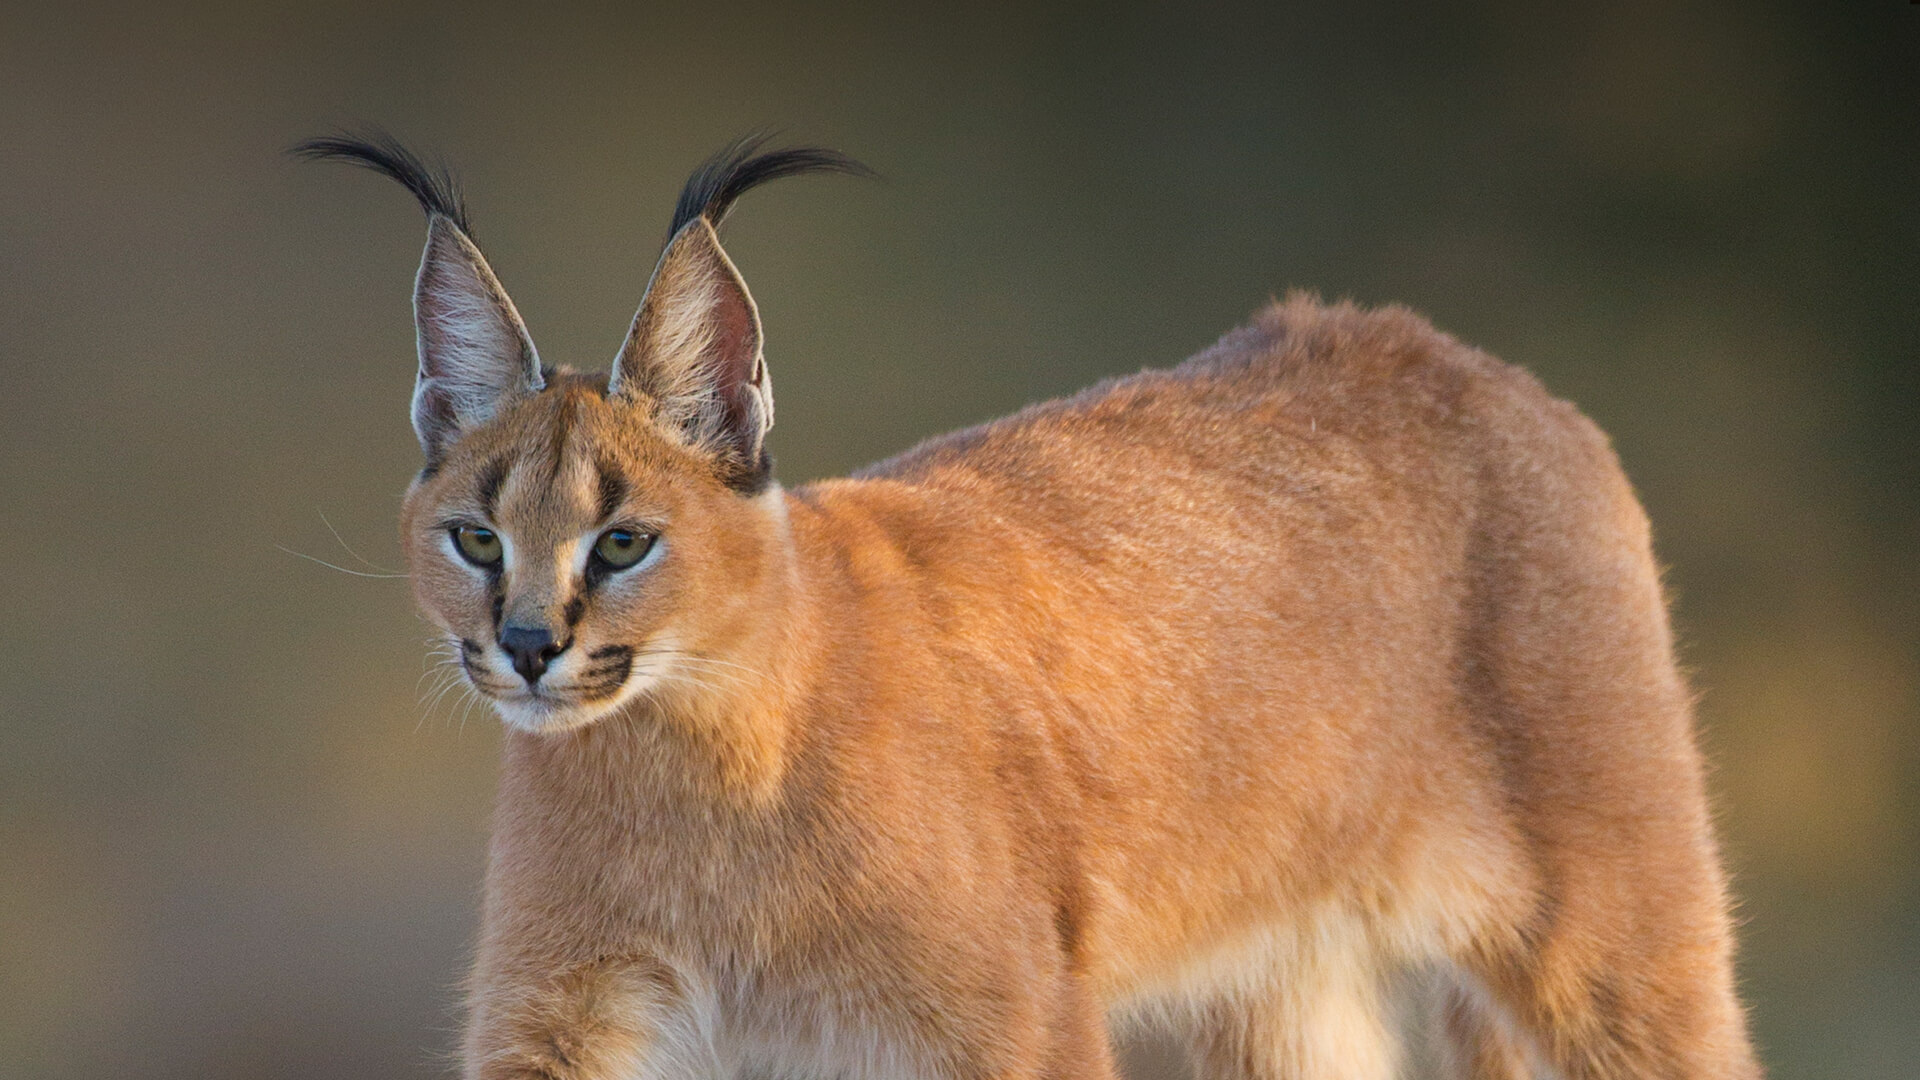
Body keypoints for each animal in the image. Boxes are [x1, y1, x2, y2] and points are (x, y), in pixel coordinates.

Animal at [295, 134, 1758, 1076]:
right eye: (475, 537)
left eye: (623, 542)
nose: (527, 648)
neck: (690, 761)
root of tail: (1439, 346)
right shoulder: (565, 1017)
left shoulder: (1010, 1018)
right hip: (1283, 983)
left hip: (1616, 939)